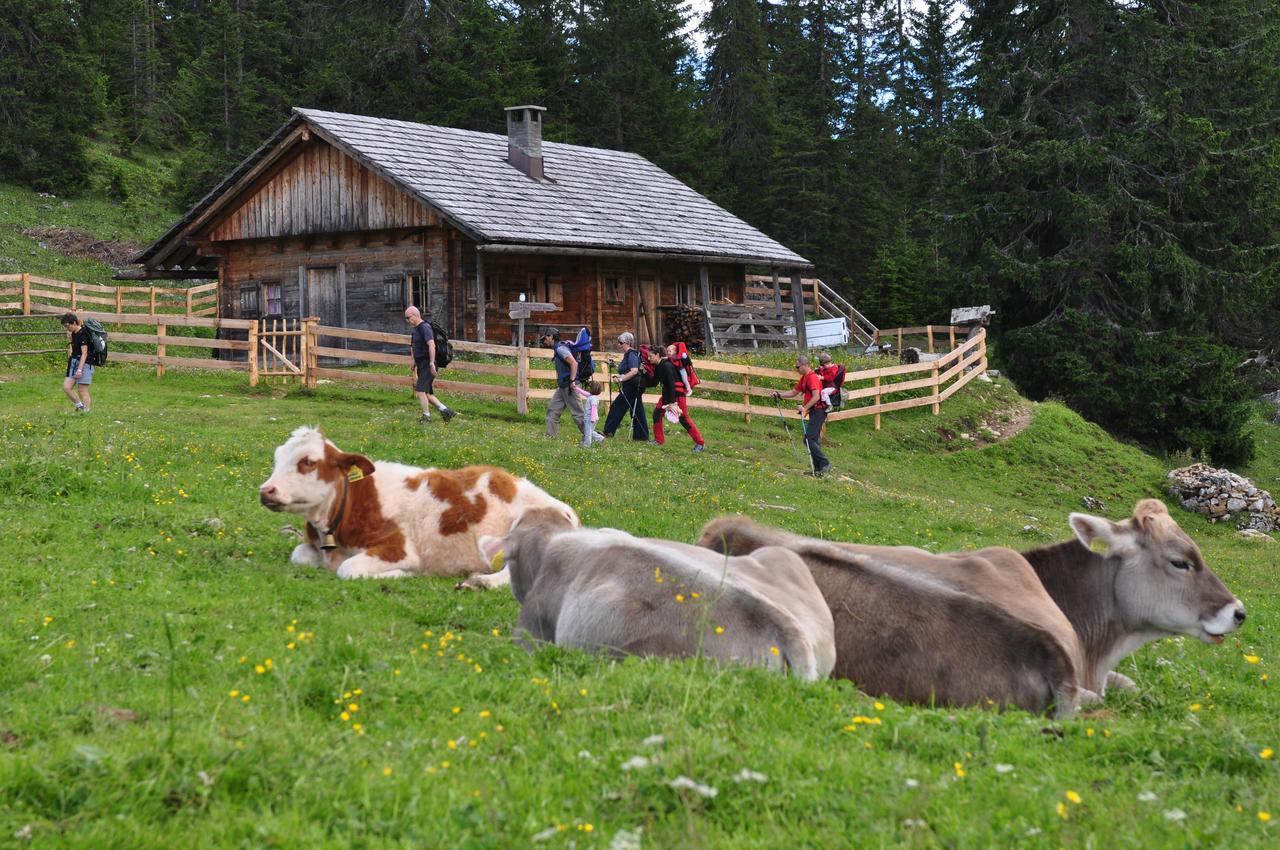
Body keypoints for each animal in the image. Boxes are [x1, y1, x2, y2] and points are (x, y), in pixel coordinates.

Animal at [257, 425, 578, 583]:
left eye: (308, 462)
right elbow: (299, 555)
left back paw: (480, 581)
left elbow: (348, 569)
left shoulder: (398, 549)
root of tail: (567, 511)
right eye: (277, 457)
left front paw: (403, 574)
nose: (266, 490)